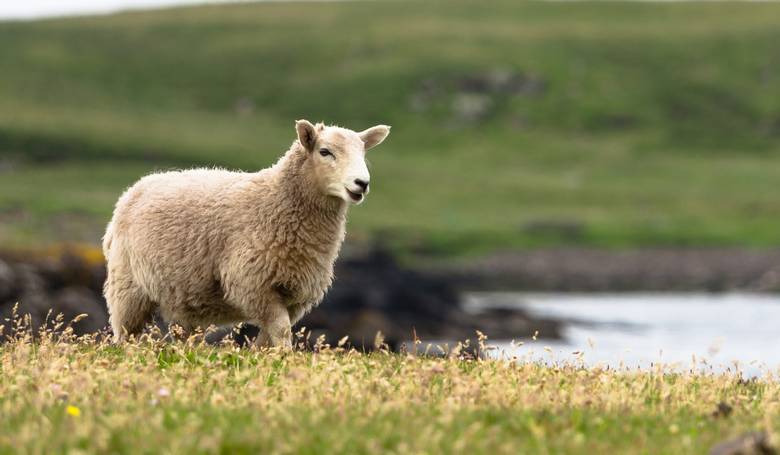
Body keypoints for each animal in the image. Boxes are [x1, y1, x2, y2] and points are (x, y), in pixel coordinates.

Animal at [102, 119, 390, 348]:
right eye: (325, 152)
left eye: (363, 153)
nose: (361, 184)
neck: (276, 201)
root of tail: (136, 187)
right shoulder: (253, 283)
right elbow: (282, 330)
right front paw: (285, 358)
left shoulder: (294, 295)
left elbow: (270, 335)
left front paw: (267, 357)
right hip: (127, 285)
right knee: (125, 333)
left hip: (181, 295)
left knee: (183, 335)